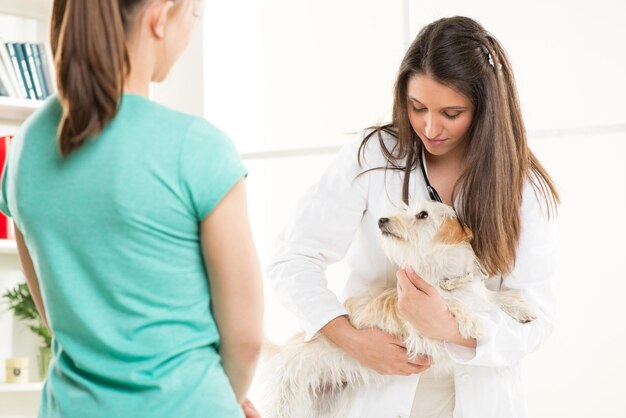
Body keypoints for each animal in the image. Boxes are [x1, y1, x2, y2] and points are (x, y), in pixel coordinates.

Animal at [258, 200, 536, 418]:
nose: (382, 219)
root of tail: (285, 348)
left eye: (422, 214)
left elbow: (495, 298)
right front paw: (472, 322)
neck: (450, 279)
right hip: (289, 398)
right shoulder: (420, 332)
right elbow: (450, 304)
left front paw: (522, 308)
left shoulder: (479, 295)